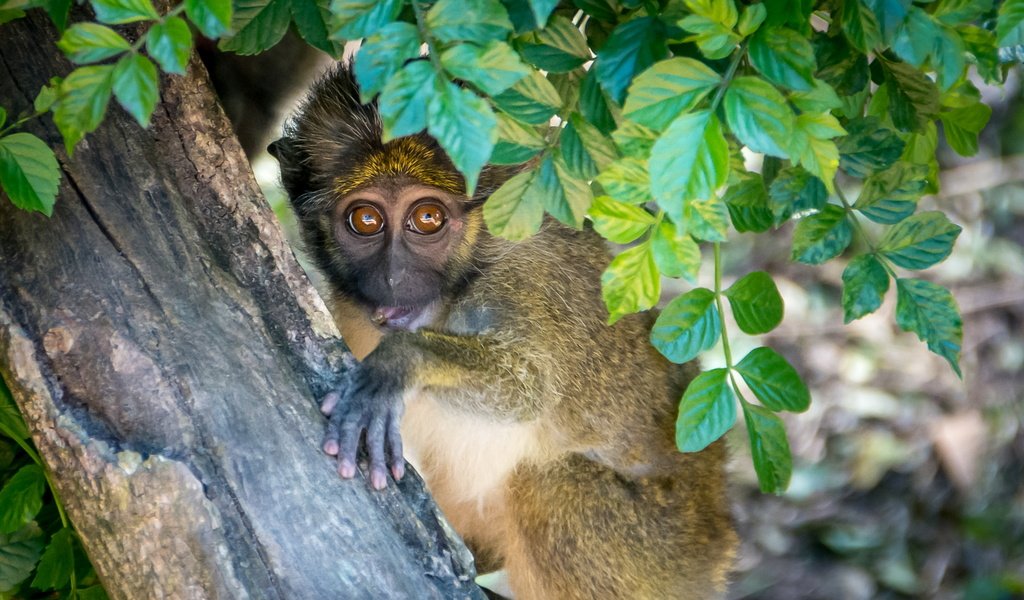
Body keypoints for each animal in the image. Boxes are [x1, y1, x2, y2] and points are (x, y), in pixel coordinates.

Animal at [272, 62, 737, 593]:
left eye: (427, 218)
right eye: (366, 220)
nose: (393, 277)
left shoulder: (525, 285)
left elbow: (528, 389)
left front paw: (402, 360)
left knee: (550, 481)